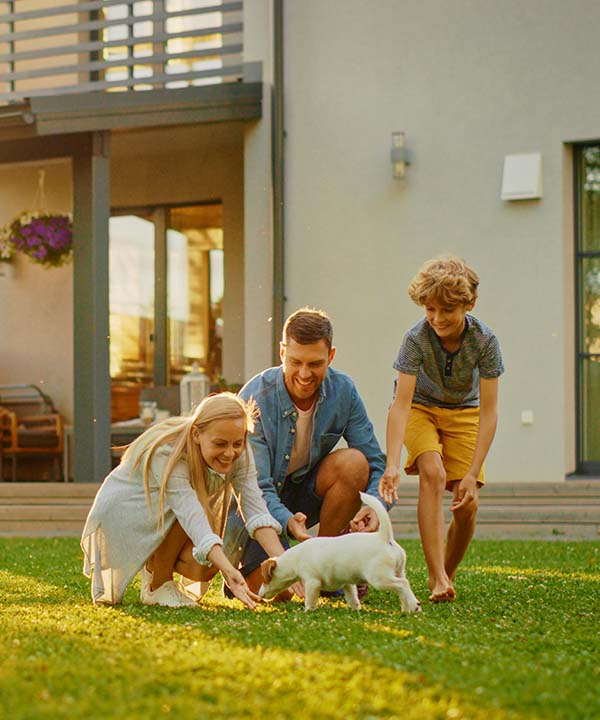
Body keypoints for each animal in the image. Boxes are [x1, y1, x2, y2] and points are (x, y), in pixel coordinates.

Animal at [258, 490, 422, 612]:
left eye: (265, 579)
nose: (259, 596)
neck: (294, 560)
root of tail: (384, 537)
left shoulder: (312, 582)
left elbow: (310, 599)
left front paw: (307, 611)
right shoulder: (347, 583)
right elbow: (352, 597)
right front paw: (356, 609)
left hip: (379, 578)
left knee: (402, 584)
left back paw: (414, 606)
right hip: (398, 571)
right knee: (403, 587)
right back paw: (406, 608)